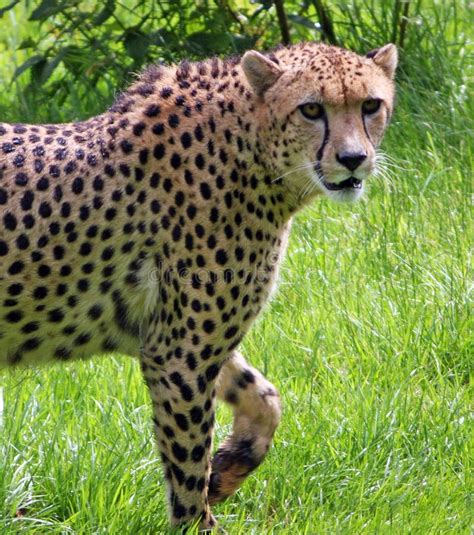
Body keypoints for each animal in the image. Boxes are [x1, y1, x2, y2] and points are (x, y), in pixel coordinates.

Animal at [0, 43, 396, 532]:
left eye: (370, 105)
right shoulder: (179, 354)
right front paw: (201, 518)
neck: (250, 143)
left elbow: (266, 399)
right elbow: (187, 465)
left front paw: (227, 469)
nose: (353, 158)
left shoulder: (169, 338)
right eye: (311, 109)